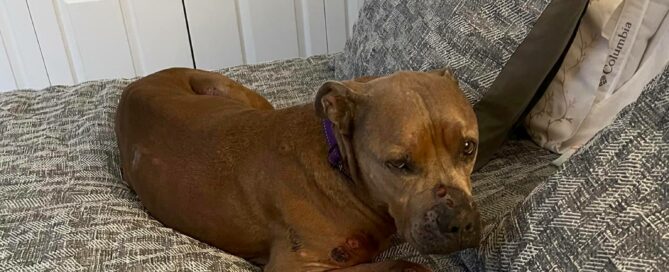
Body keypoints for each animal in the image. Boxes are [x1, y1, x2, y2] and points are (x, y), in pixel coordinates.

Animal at [115, 67, 480, 270]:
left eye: (468, 147)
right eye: (399, 164)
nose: (461, 221)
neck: (341, 167)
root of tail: (134, 85)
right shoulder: (298, 266)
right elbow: (406, 266)